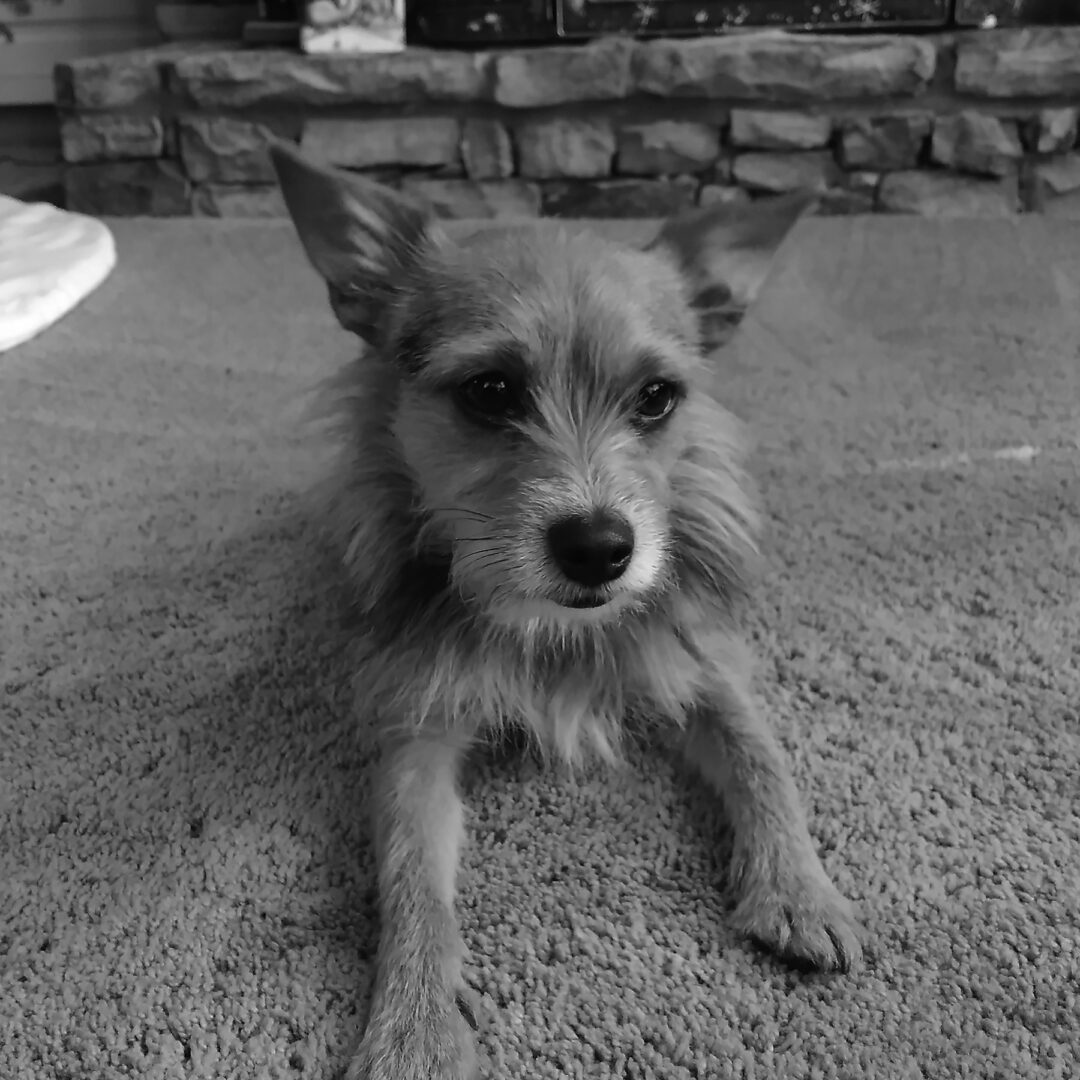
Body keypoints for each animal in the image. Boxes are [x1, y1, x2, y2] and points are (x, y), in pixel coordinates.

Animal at [270, 143, 859, 1080]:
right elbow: (410, 878)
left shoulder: (703, 662)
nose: (600, 547)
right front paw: (413, 1025)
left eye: (657, 396)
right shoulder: (417, 732)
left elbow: (765, 761)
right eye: (490, 390)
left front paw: (802, 889)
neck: (554, 630)